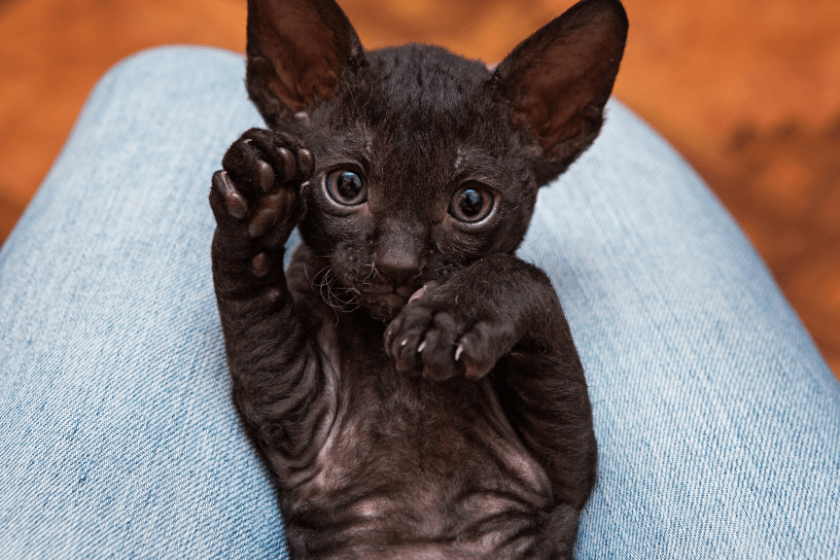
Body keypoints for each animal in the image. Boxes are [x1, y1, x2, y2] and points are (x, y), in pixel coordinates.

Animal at [210, 1, 628, 556]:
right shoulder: (297, 422)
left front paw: (452, 317)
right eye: (347, 186)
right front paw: (257, 196)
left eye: (471, 203)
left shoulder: (564, 479)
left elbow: (527, 276)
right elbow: (249, 296)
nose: (398, 264)